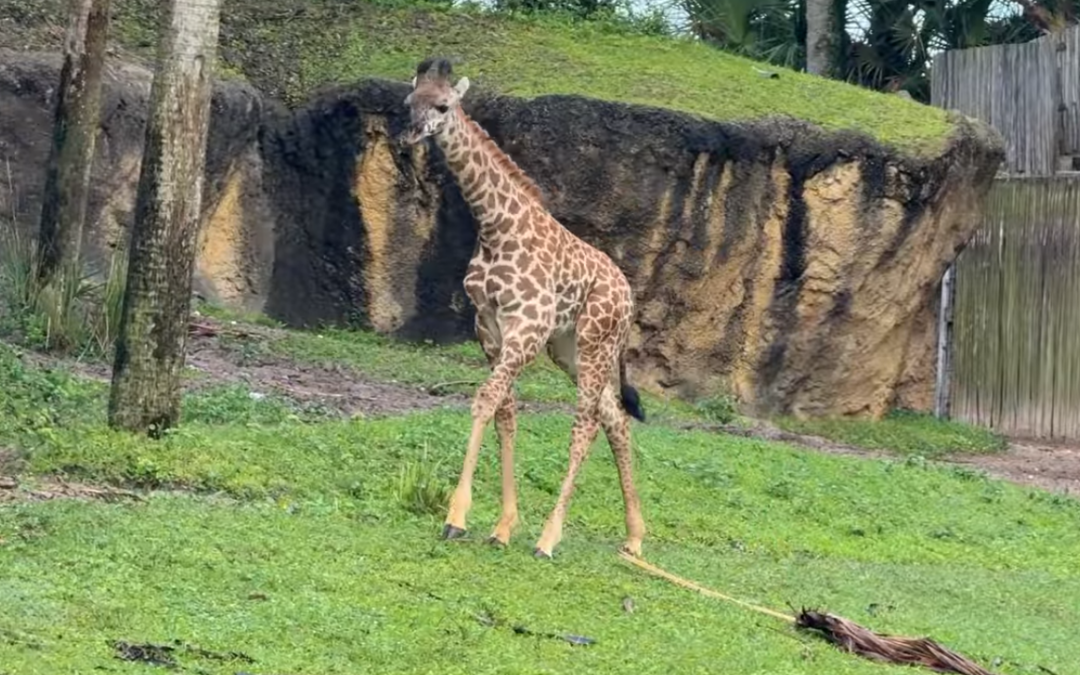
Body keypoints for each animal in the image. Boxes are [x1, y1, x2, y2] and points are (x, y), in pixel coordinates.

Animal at [398, 57, 647, 559]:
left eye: (444, 105)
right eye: (408, 101)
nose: (410, 135)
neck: (495, 227)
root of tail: (629, 300)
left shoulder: (526, 328)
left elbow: (485, 401)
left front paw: (456, 518)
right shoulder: (490, 328)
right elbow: (505, 412)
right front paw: (502, 526)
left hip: (595, 343)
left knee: (587, 424)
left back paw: (549, 539)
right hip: (568, 349)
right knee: (614, 417)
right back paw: (634, 537)